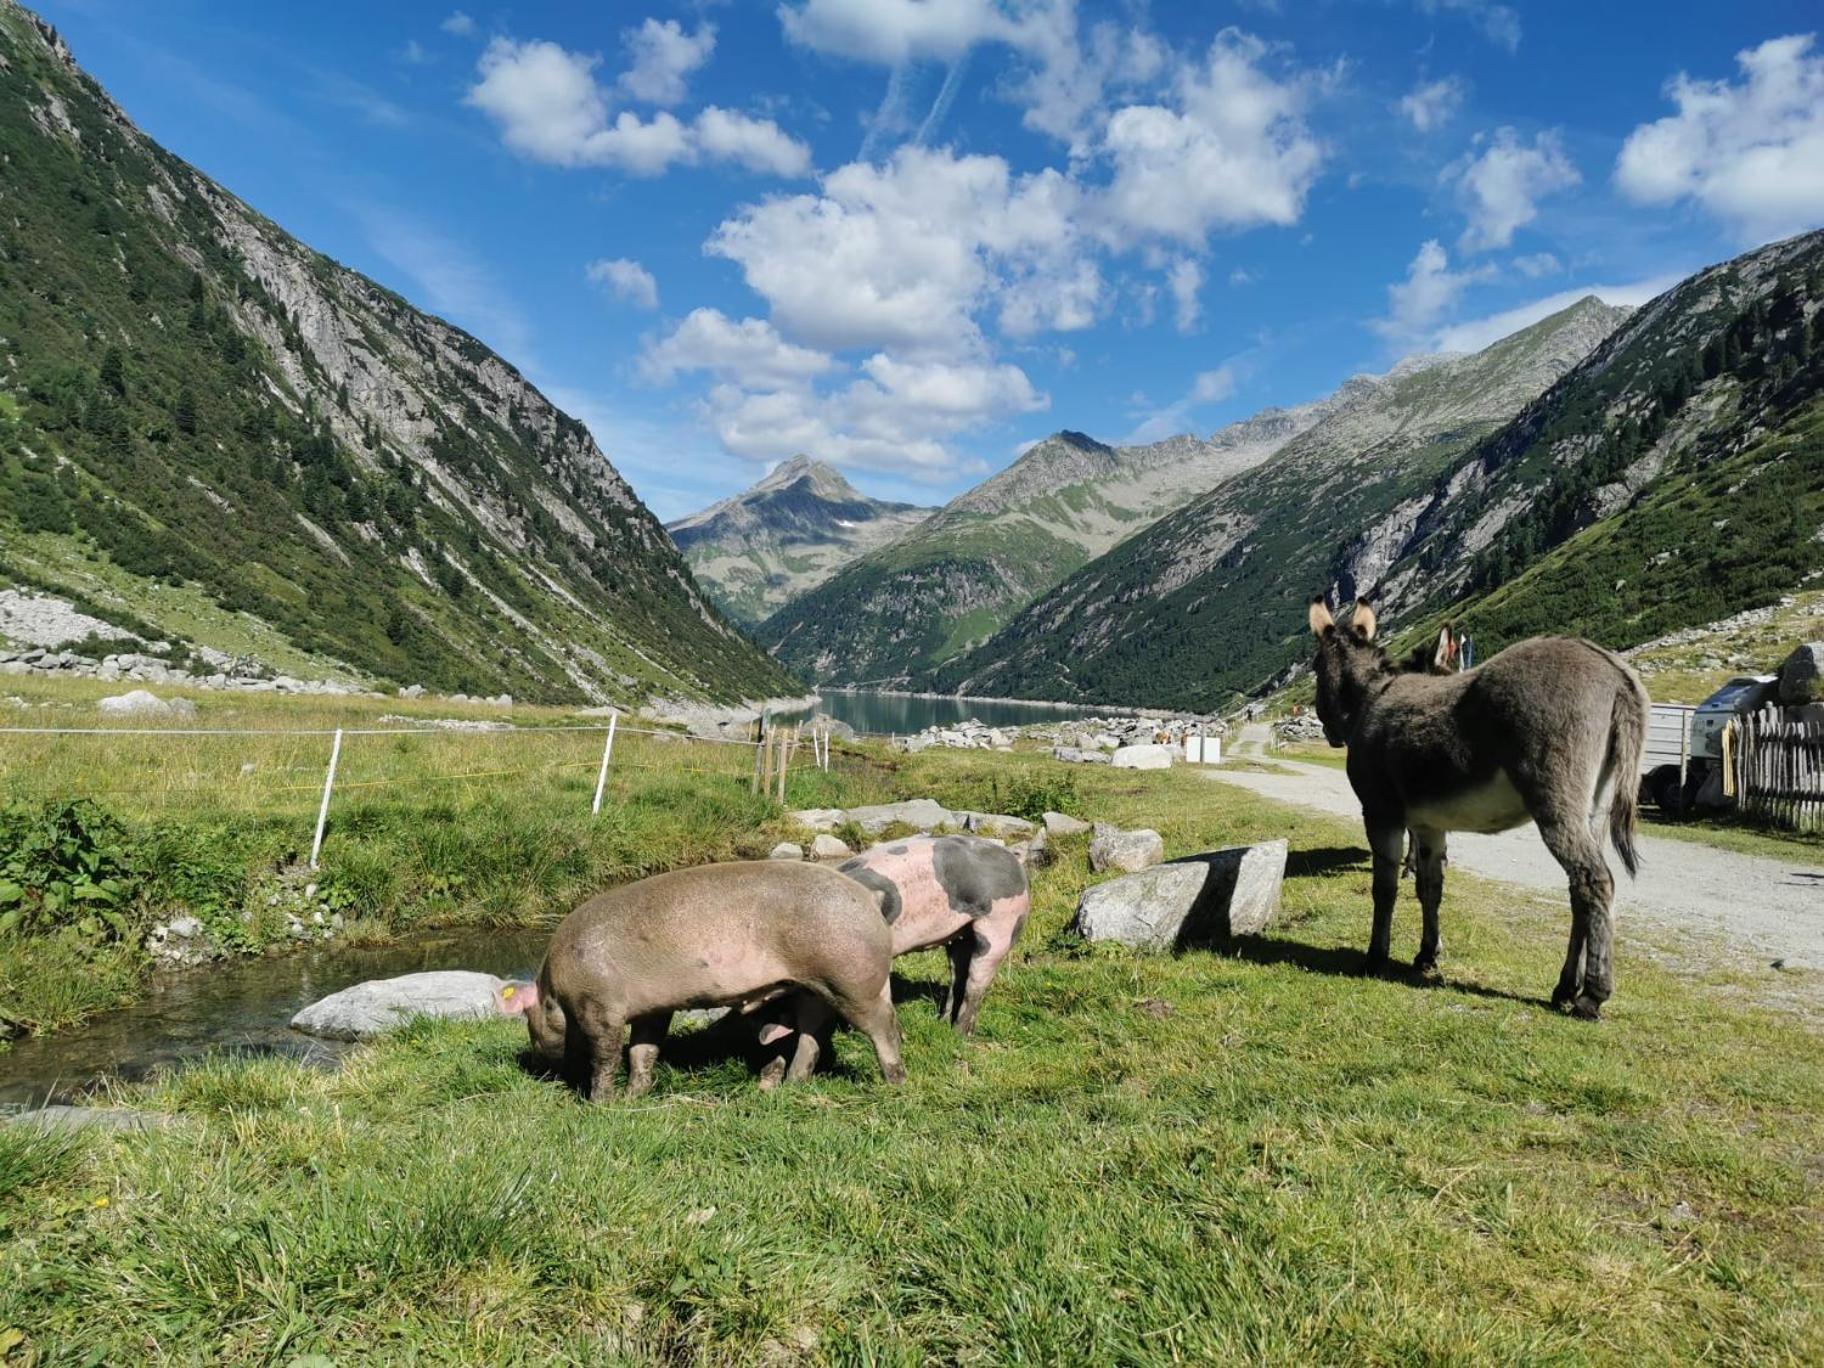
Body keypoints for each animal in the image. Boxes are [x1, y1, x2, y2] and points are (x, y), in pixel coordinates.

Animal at [528, 868, 904, 1101]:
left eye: (531, 1026)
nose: (541, 1071)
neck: (558, 988)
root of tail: (869, 898)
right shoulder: (654, 1009)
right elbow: (642, 1051)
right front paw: (635, 1096)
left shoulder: (600, 1005)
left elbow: (605, 1057)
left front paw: (601, 1103)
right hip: (813, 989)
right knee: (814, 1034)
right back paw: (789, 1085)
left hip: (852, 979)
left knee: (883, 1026)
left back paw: (895, 1083)